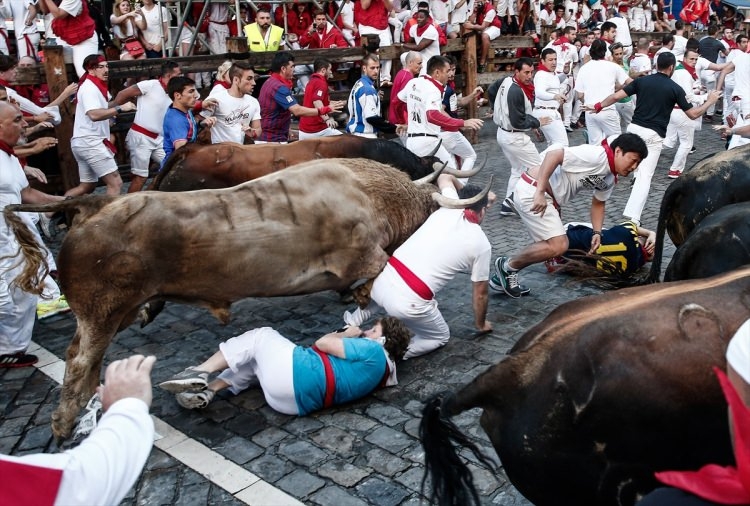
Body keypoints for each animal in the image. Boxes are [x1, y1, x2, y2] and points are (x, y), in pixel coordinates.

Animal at [5, 158, 490, 438]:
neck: (370, 194)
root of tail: (93, 206)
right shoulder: (369, 261)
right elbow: (366, 302)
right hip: (103, 313)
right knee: (81, 363)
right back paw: (65, 425)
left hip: (107, 315)